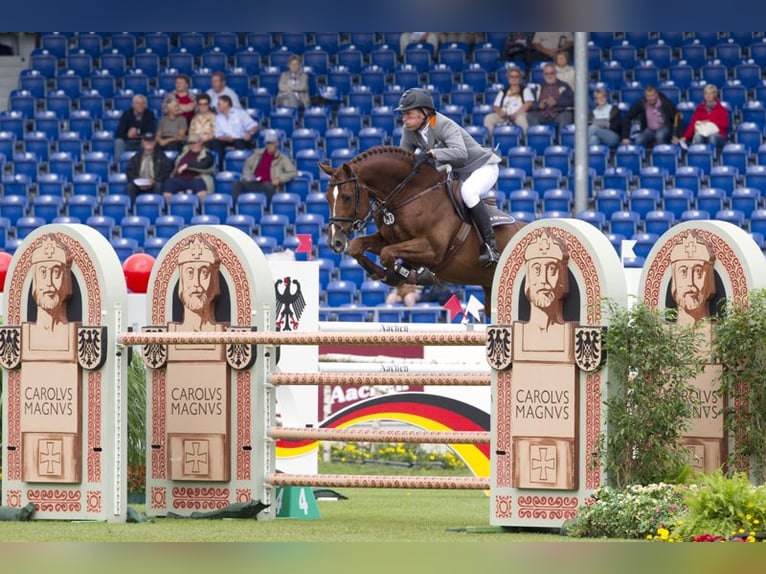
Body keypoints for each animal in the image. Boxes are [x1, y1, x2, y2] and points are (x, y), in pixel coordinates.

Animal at [320, 145, 528, 316]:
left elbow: (388, 254)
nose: (335, 242)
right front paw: (386, 274)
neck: (410, 193)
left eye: (346, 197)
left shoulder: (432, 249)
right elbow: (358, 246)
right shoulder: (390, 239)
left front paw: (401, 275)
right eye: (328, 197)